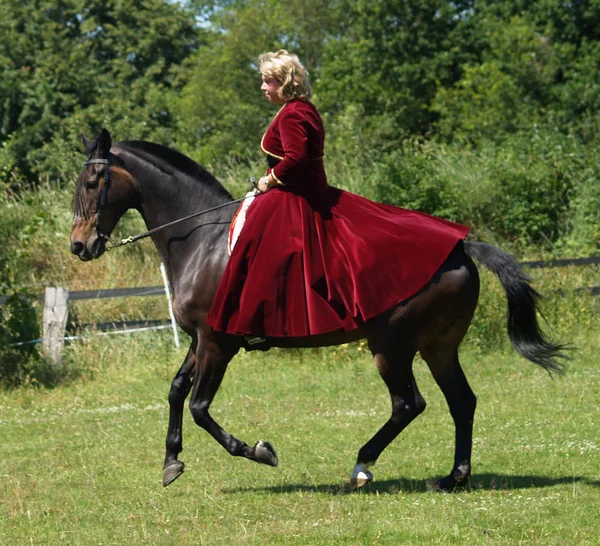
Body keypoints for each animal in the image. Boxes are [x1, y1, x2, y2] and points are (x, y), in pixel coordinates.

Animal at [70, 127, 568, 488]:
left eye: (92, 182)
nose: (79, 246)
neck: (203, 240)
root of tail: (462, 249)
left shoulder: (217, 343)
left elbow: (199, 406)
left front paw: (259, 451)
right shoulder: (200, 339)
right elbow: (176, 391)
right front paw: (172, 461)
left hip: (392, 346)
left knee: (409, 403)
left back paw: (363, 466)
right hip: (438, 346)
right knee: (461, 401)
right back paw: (453, 478)